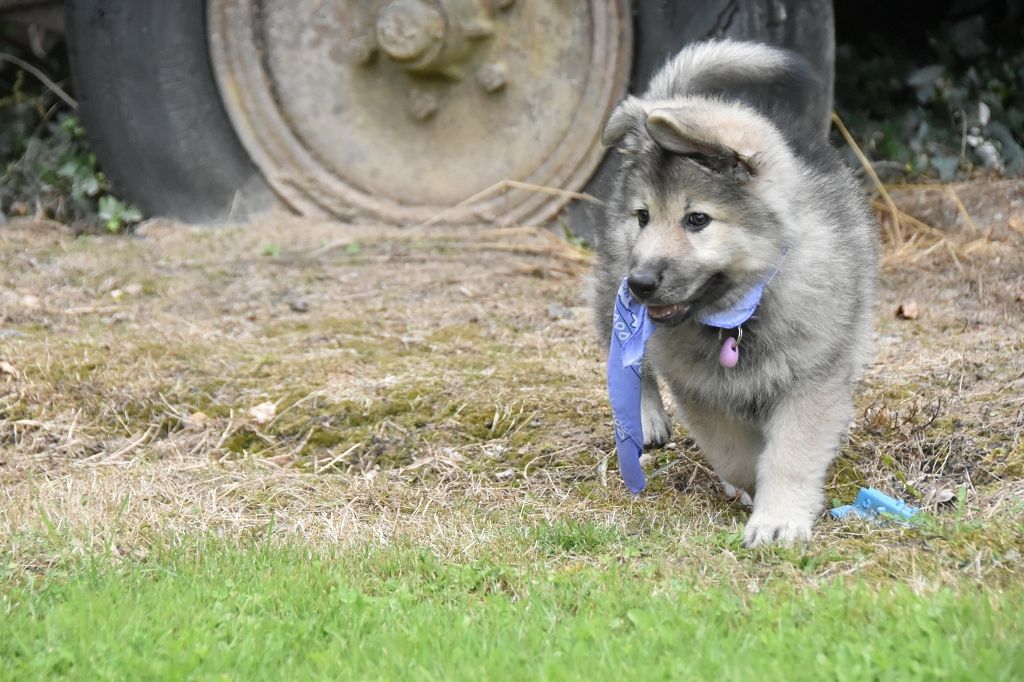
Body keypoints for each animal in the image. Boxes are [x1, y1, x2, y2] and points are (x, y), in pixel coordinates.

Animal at [590, 40, 879, 546]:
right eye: (643, 216)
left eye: (697, 219)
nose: (640, 283)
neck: (741, 310)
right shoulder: (698, 387)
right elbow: (734, 451)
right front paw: (749, 487)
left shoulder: (811, 378)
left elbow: (789, 451)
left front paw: (778, 516)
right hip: (612, 283)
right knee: (626, 352)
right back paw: (643, 415)